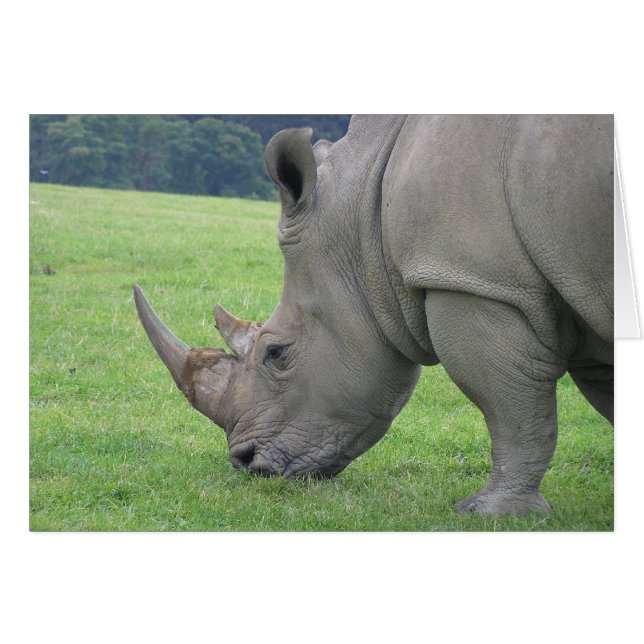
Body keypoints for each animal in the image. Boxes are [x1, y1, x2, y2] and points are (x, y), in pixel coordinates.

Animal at [134, 115, 613, 516]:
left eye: (276, 353)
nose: (245, 464)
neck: (363, 218)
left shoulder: (472, 281)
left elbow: (508, 405)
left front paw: (490, 513)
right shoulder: (578, 292)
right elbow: (598, 394)